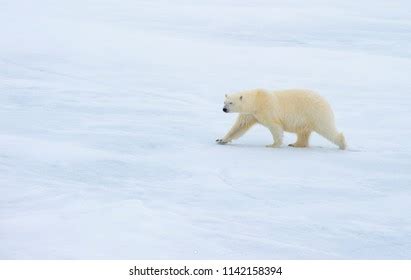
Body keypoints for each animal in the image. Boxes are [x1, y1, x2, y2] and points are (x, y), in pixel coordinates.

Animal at [217, 88, 346, 150]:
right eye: (224, 102)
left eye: (231, 103)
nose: (224, 109)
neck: (256, 100)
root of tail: (325, 100)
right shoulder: (251, 114)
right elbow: (239, 127)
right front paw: (221, 140)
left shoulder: (267, 108)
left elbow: (275, 126)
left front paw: (273, 145)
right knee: (303, 132)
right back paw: (295, 144)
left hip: (315, 113)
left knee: (326, 129)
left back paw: (343, 144)